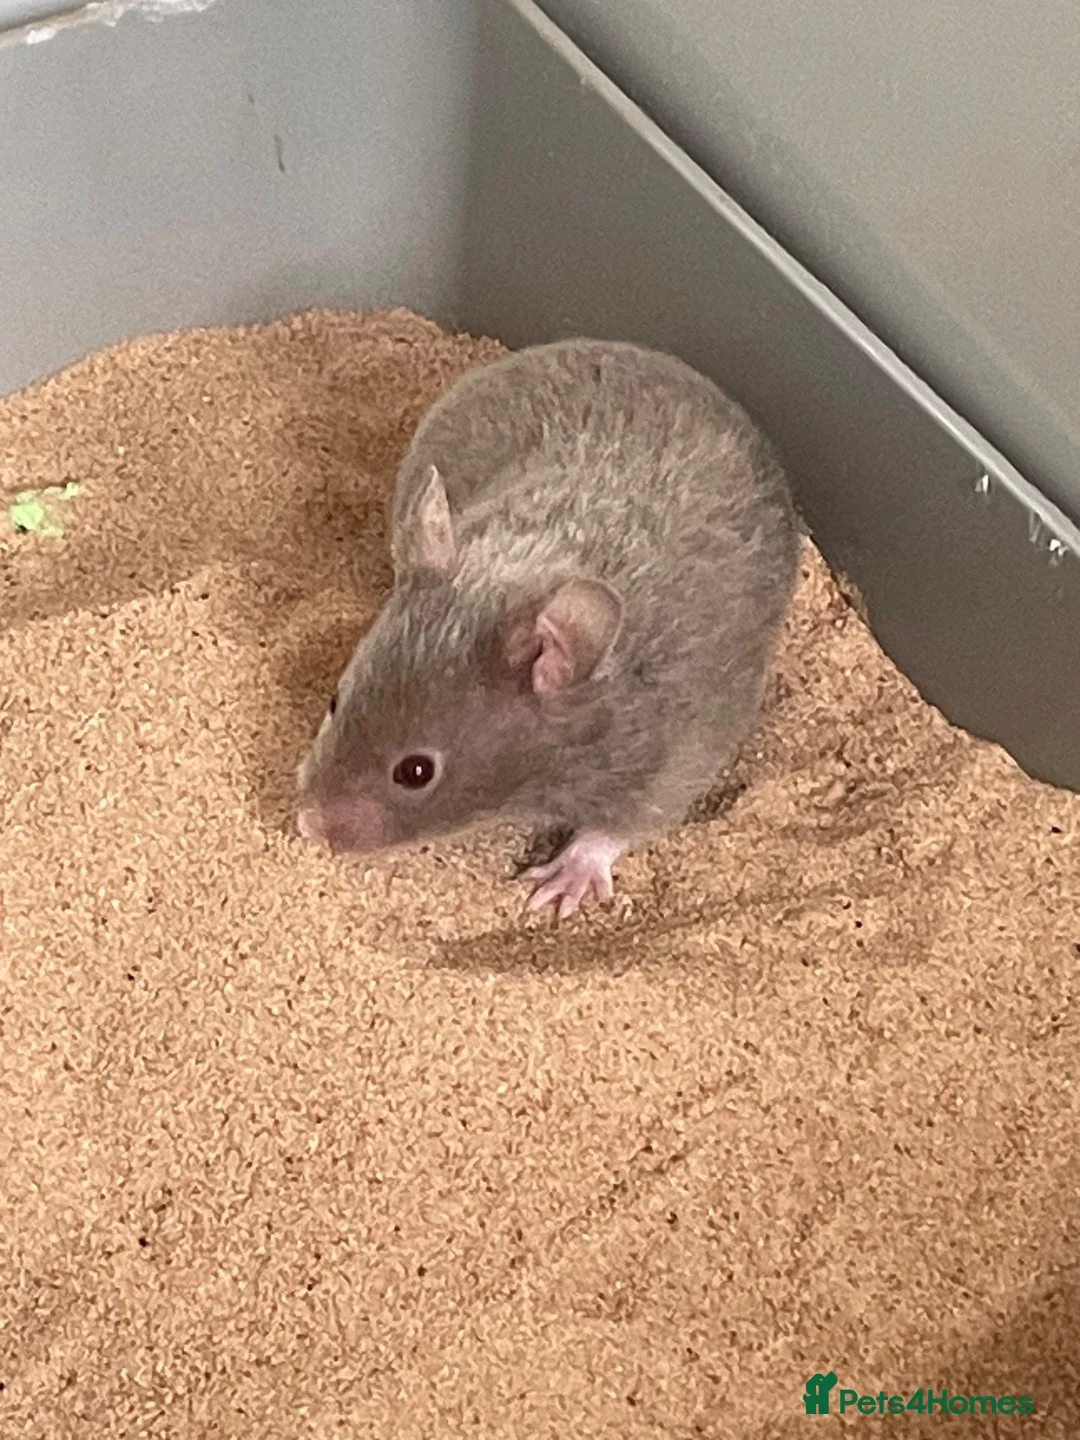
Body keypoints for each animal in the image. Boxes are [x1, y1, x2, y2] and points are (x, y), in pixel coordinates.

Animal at [296, 338, 800, 919]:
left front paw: (559, 885)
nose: (308, 827)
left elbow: (618, 826)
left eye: (416, 772)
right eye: (334, 701)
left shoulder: (676, 760)